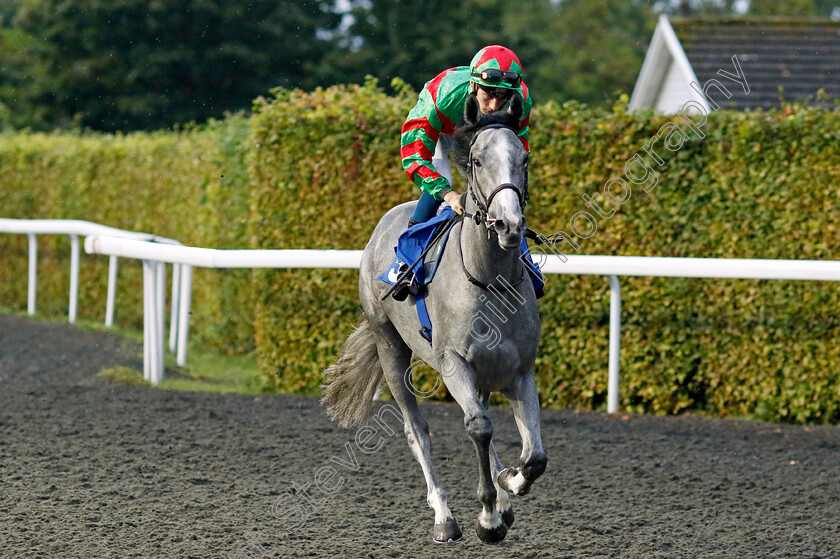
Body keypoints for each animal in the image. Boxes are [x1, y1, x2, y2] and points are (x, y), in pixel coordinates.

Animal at [322, 94, 544, 544]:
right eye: (477, 160)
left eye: (524, 158)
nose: (509, 224)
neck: (488, 279)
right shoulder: (453, 362)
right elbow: (477, 428)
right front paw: (488, 518)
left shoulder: (519, 371)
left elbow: (534, 456)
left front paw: (509, 484)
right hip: (390, 348)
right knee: (417, 430)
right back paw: (444, 515)